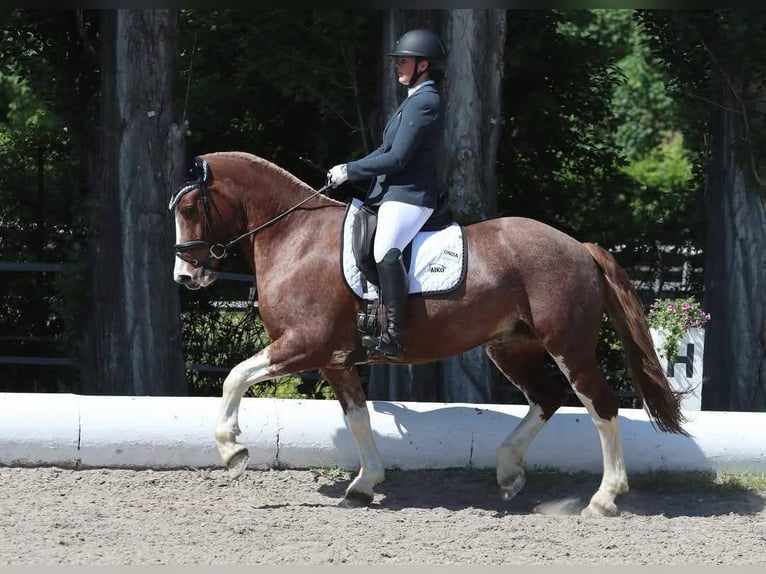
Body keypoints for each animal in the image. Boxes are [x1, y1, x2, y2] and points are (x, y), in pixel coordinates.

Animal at [169, 151, 688, 517]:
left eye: (191, 207)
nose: (185, 277)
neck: (295, 238)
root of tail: (578, 246)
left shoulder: (304, 345)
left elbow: (234, 376)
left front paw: (233, 449)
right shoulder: (335, 360)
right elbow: (358, 417)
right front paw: (365, 485)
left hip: (569, 346)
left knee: (600, 405)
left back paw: (604, 498)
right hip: (511, 347)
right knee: (548, 397)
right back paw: (509, 473)